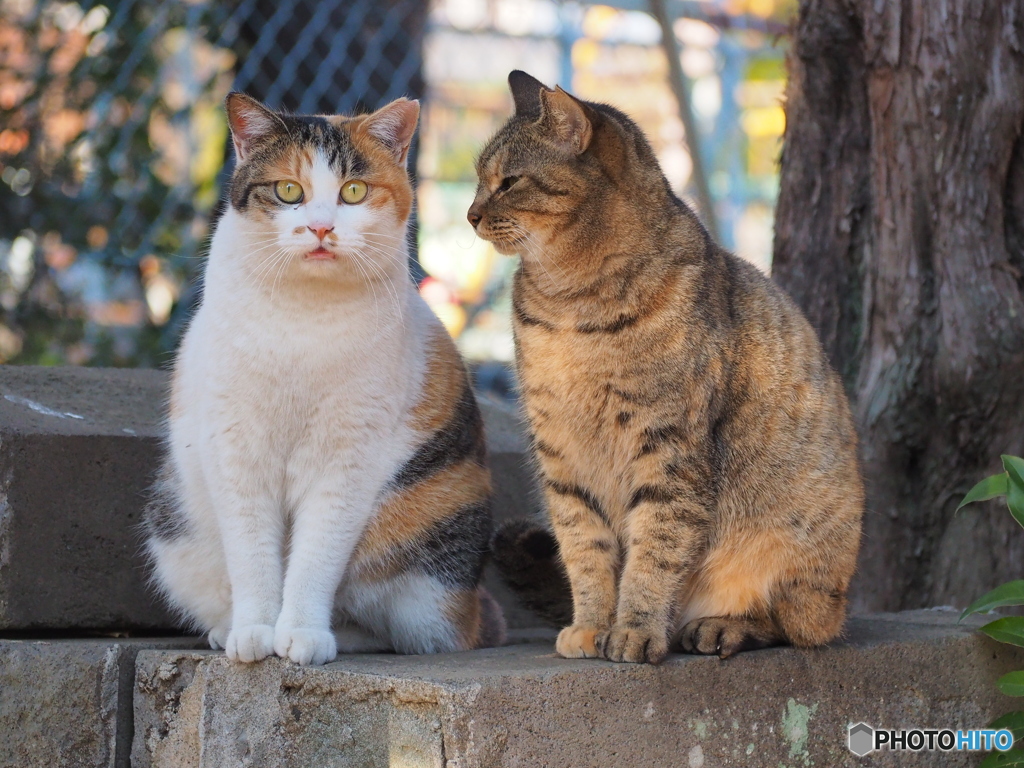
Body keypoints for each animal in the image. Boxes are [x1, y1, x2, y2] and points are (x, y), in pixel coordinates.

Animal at [146, 93, 505, 663]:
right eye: (288, 190)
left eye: (353, 191)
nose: (320, 228)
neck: (304, 321)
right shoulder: (236, 447)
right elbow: (251, 554)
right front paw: (253, 632)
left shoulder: (348, 456)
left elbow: (316, 556)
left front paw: (301, 635)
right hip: (174, 529)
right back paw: (225, 629)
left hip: (429, 570)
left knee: (394, 630)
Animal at [473, 75, 864, 671]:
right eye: (478, 179)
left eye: (509, 181)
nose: (470, 214)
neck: (570, 305)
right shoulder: (561, 453)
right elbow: (584, 548)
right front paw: (592, 626)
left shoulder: (668, 447)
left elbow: (653, 552)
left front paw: (633, 630)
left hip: (802, 554)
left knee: (798, 626)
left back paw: (718, 627)